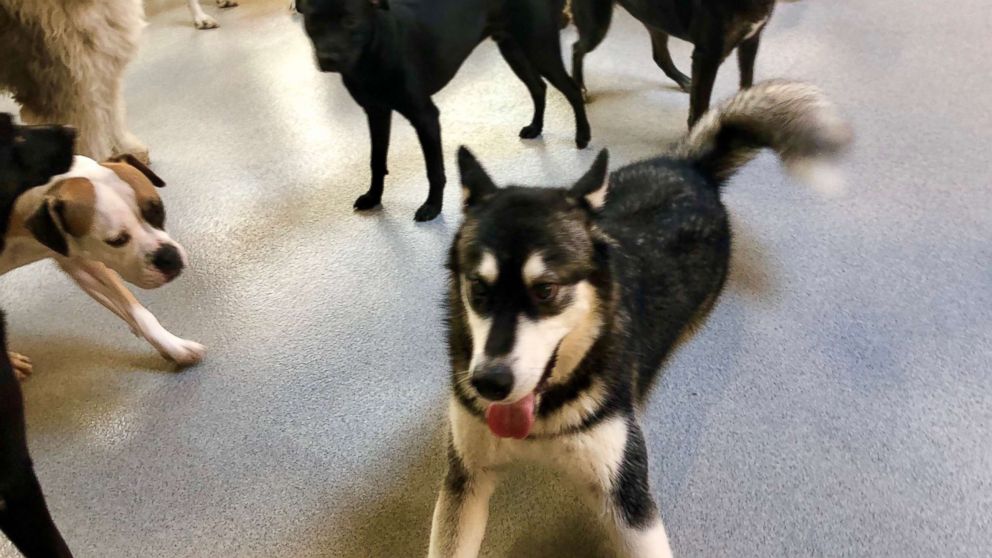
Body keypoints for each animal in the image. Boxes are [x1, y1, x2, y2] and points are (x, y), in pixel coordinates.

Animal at [1, 155, 203, 378]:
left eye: (158, 211)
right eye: (116, 241)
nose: (169, 257)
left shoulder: (79, 259)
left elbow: (135, 309)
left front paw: (173, 346)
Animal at [294, 0, 588, 222]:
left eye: (350, 21)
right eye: (313, 22)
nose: (328, 59)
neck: (372, 55)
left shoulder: (425, 116)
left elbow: (434, 170)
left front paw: (432, 207)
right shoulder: (376, 113)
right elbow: (376, 161)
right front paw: (373, 197)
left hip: (539, 47)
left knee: (572, 90)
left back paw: (583, 136)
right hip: (512, 48)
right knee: (538, 87)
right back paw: (536, 127)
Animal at [430, 80, 848, 558]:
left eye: (546, 290)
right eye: (478, 288)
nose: (490, 383)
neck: (547, 413)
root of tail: (688, 167)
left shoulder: (625, 494)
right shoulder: (466, 479)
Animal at [564, 0, 776, 127]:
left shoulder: (751, 40)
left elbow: (747, 82)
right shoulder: (707, 56)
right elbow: (699, 110)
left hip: (655, 19)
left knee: (660, 56)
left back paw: (683, 80)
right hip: (596, 25)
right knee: (576, 48)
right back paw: (579, 87)